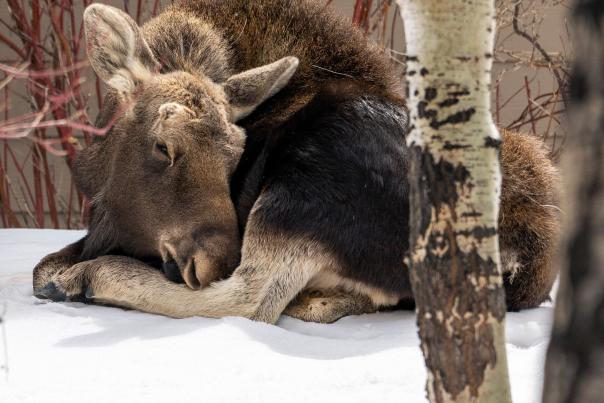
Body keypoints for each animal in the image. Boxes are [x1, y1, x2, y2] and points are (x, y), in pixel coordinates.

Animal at [33, 0, 560, 324]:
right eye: (162, 146)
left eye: (238, 154)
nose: (214, 260)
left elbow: (45, 268)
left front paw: (73, 274)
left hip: (292, 197)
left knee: (249, 300)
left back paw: (90, 278)